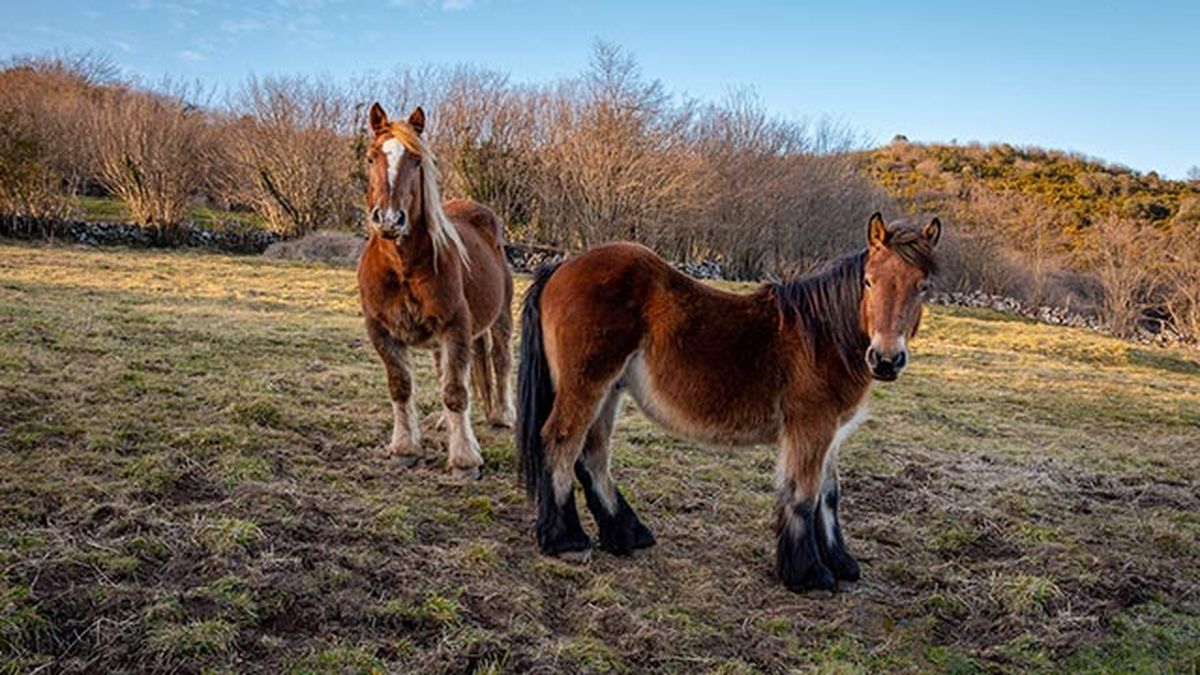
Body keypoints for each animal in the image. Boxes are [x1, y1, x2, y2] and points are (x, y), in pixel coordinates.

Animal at [357, 103, 514, 480]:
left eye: (416, 161)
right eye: (371, 157)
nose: (389, 220)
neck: (402, 267)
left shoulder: (455, 327)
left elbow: (456, 391)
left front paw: (465, 461)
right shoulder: (381, 331)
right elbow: (401, 387)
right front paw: (404, 449)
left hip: (501, 317)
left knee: (501, 360)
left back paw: (502, 417)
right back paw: (445, 423)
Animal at [516, 213, 940, 591]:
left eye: (922, 287)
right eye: (868, 281)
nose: (885, 360)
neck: (823, 338)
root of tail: (561, 266)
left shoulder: (831, 435)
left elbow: (829, 495)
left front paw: (840, 562)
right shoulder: (811, 429)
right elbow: (803, 495)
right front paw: (809, 574)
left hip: (610, 389)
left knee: (593, 453)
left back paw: (627, 533)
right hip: (587, 385)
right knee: (562, 443)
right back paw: (565, 540)